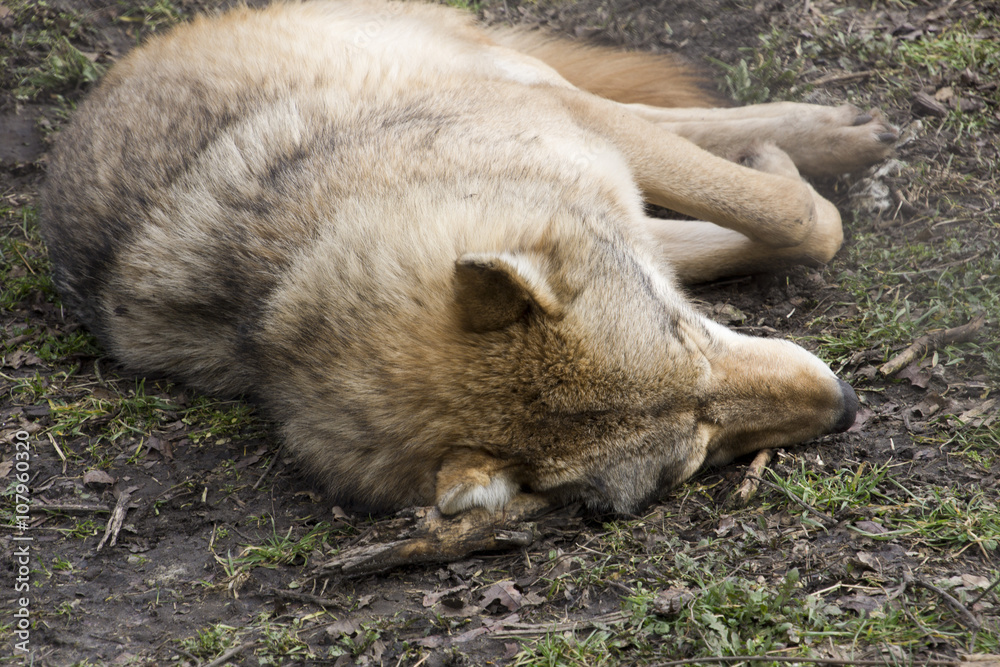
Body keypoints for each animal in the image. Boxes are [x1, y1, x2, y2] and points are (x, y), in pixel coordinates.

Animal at [40, 0, 894, 516]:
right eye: (693, 456)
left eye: (685, 334)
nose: (846, 405)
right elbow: (790, 226)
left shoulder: (577, 137)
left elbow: (797, 217)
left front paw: (794, 163)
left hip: (523, 77)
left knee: (663, 114)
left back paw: (834, 132)